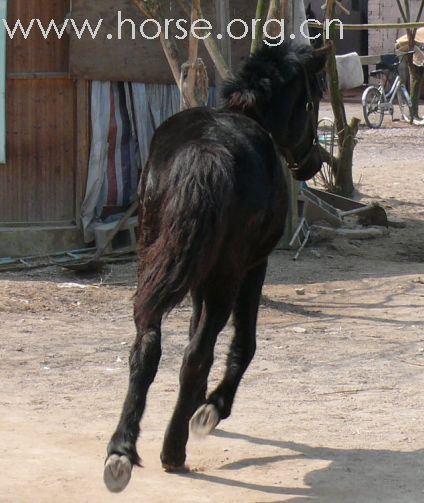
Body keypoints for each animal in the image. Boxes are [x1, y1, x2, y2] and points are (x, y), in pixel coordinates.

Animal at [104, 41, 330, 494]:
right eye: (314, 99)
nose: (315, 161)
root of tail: (204, 152)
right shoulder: (253, 266)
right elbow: (242, 343)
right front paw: (209, 409)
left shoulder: (197, 276)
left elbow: (193, 331)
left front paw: (193, 402)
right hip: (227, 274)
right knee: (197, 352)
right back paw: (174, 450)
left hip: (156, 262)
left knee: (147, 347)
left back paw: (121, 451)